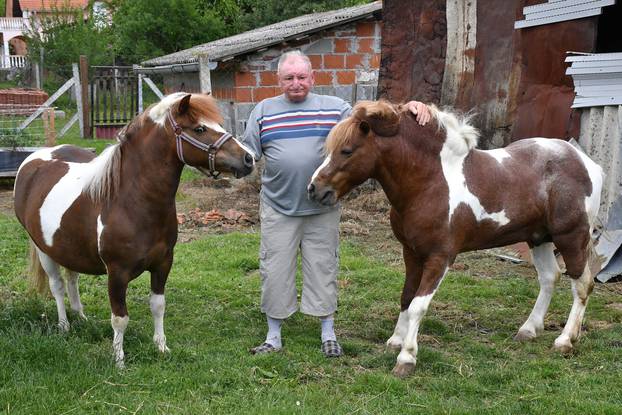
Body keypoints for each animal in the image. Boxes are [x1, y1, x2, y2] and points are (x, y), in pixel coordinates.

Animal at [11, 93, 254, 368]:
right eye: (200, 129)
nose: (248, 159)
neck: (131, 202)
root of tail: (33, 160)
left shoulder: (163, 264)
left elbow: (158, 306)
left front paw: (161, 347)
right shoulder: (117, 273)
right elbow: (120, 318)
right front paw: (119, 360)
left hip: (67, 248)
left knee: (72, 279)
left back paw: (81, 317)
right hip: (44, 250)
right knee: (57, 286)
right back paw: (64, 326)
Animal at [310, 100, 608, 376]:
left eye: (347, 150)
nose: (315, 190)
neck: (430, 182)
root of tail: (587, 163)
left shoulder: (440, 257)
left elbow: (418, 305)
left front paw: (406, 358)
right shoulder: (411, 252)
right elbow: (407, 296)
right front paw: (395, 340)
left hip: (570, 237)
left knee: (582, 284)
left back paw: (565, 340)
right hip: (539, 238)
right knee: (549, 277)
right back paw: (528, 330)